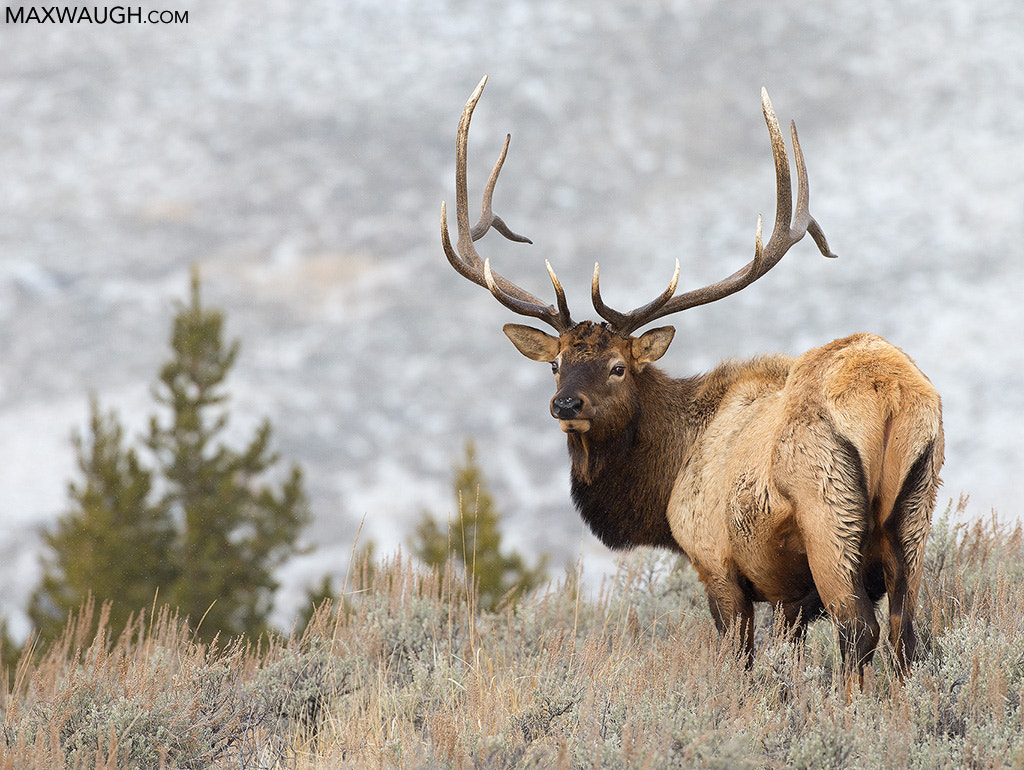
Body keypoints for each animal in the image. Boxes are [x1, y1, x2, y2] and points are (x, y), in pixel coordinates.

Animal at [440, 78, 942, 679]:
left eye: (618, 367)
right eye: (556, 364)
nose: (565, 405)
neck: (668, 477)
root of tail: (889, 393)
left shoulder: (716, 561)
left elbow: (740, 659)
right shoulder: (790, 594)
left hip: (828, 511)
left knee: (859, 629)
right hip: (915, 513)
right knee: (908, 637)